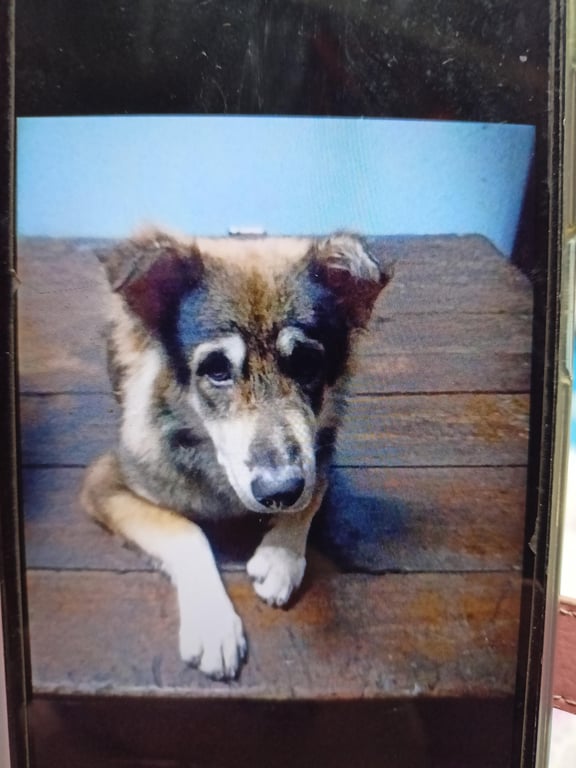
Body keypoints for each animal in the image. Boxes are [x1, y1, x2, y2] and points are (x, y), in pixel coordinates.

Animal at [81, 230, 390, 679]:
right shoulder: (107, 481)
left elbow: (312, 491)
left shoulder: (322, 454)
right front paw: (213, 624)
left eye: (306, 363)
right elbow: (185, 530)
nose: (279, 492)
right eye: (216, 369)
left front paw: (281, 556)